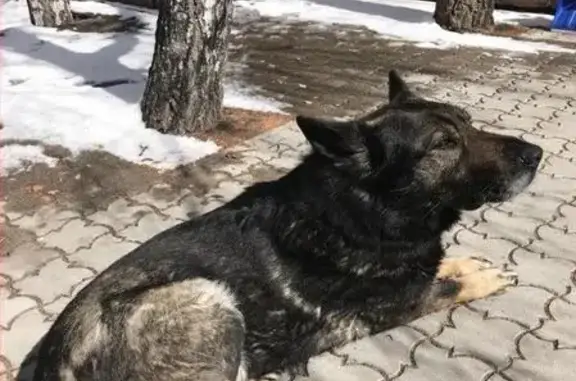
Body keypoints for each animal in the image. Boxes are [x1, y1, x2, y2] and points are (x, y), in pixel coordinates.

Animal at [32, 70, 544, 380]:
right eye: (444, 144)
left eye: (469, 124)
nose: (536, 154)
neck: (367, 208)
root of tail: (57, 358)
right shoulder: (404, 302)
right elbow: (448, 286)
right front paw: (480, 277)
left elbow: (443, 265)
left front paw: (467, 262)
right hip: (208, 298)